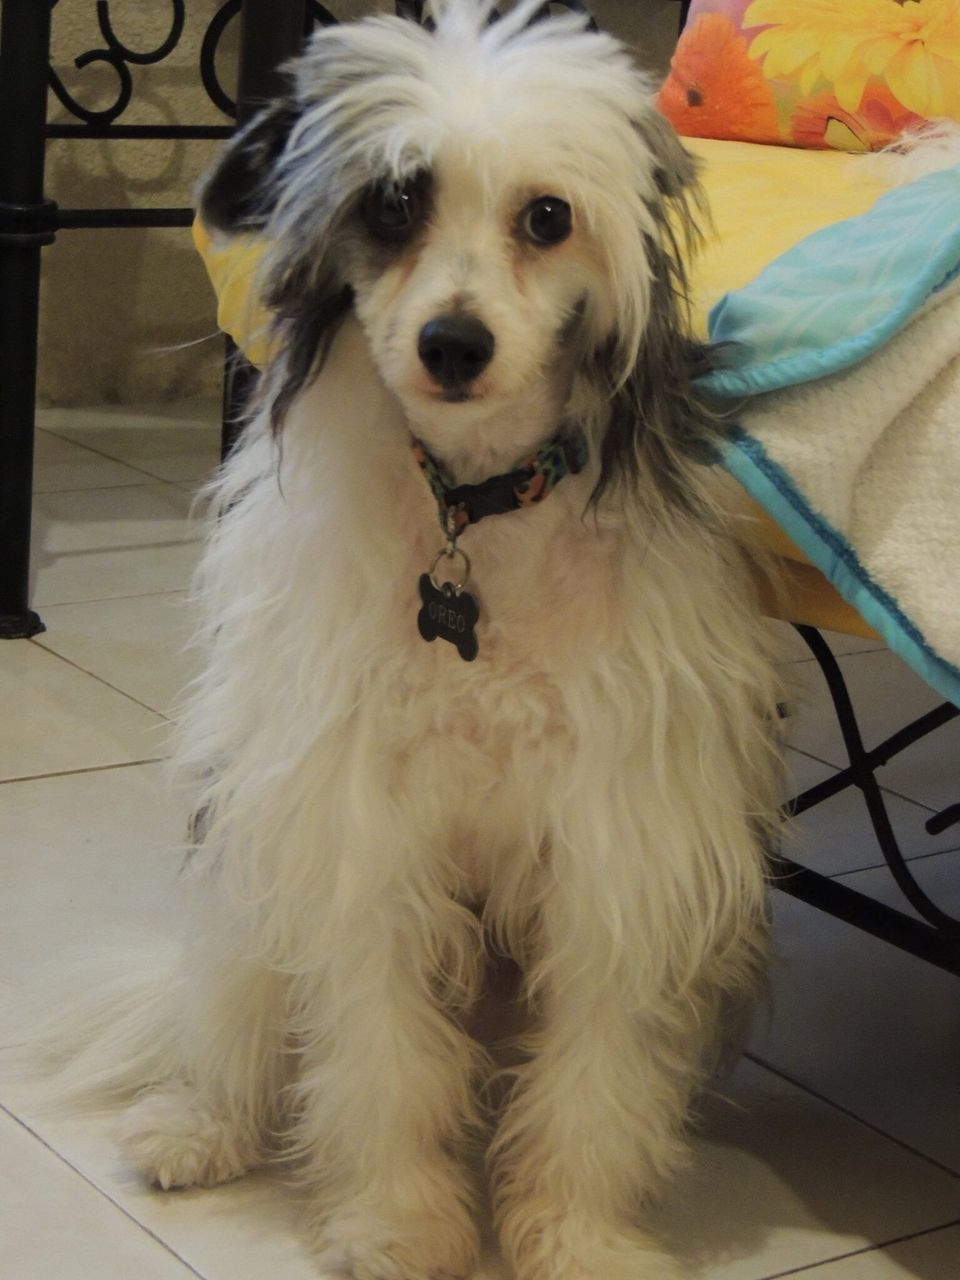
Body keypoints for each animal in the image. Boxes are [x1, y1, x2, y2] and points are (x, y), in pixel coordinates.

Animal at [43, 2, 788, 1280]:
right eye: (393, 202)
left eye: (547, 217)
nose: (453, 343)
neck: (477, 508)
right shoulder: (360, 835)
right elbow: (379, 1055)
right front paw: (397, 1220)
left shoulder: (617, 851)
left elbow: (595, 1077)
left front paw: (577, 1233)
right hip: (248, 875)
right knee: (234, 1019)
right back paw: (199, 1124)